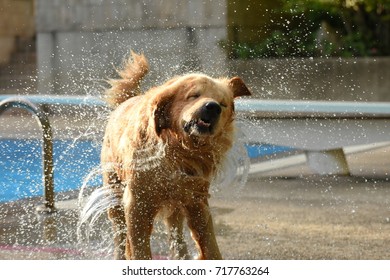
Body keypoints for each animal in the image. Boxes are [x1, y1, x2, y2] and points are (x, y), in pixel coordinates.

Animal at [102, 50, 251, 260]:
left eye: (223, 104)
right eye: (194, 95)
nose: (212, 107)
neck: (179, 151)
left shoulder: (196, 199)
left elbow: (208, 241)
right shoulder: (137, 201)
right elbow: (138, 245)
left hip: (176, 204)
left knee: (175, 231)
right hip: (114, 191)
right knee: (120, 232)